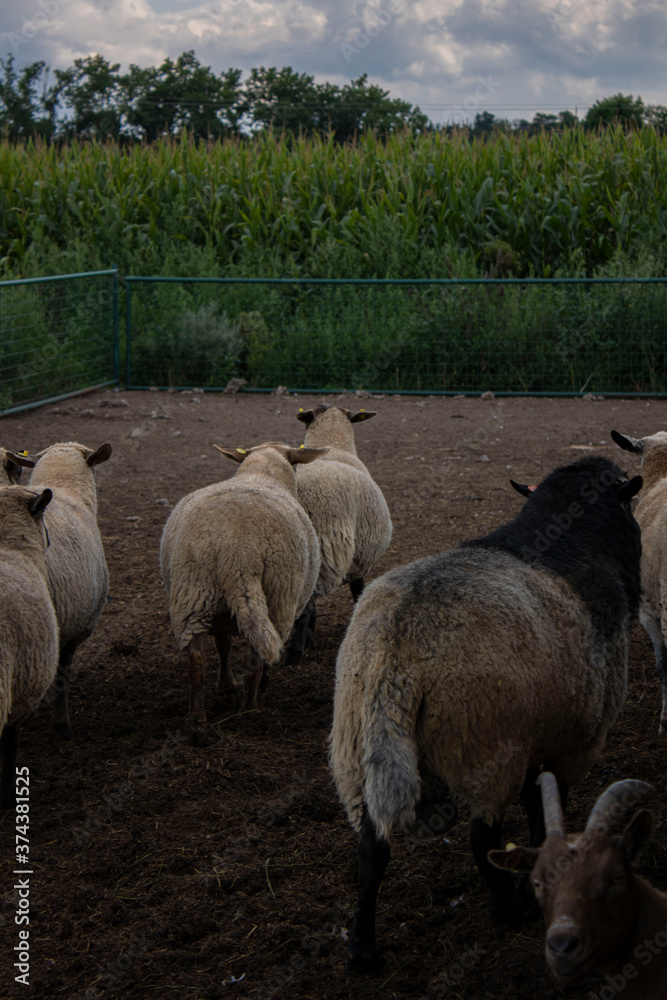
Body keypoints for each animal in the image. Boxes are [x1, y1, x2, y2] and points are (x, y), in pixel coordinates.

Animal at [159, 441, 328, 745]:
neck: (261, 473)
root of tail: (236, 550)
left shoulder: (219, 613)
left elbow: (223, 646)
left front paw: (225, 685)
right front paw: (257, 686)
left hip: (194, 594)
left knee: (196, 659)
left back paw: (196, 724)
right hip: (277, 597)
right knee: (256, 658)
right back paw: (250, 710)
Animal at [329, 456, 643, 972]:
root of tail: (397, 647)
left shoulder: (541, 734)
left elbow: (537, 801)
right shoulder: (575, 741)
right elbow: (546, 806)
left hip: (357, 753)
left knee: (371, 849)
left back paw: (361, 945)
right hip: (486, 750)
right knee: (481, 838)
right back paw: (506, 908)